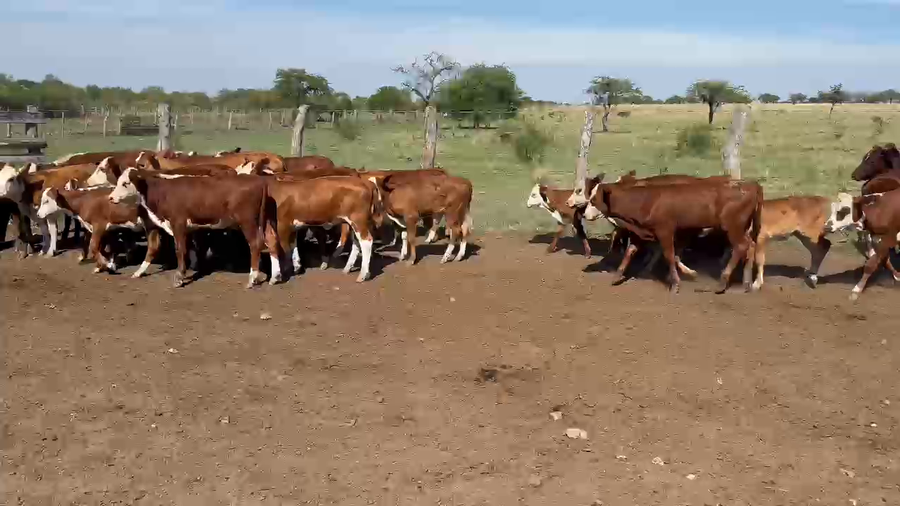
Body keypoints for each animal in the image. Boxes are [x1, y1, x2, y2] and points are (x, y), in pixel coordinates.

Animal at [108, 168, 278, 288]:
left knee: (255, 244)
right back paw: (275, 277)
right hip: (266, 221)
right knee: (272, 242)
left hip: (247, 221)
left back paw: (252, 278)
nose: (110, 197)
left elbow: (179, 249)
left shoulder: (178, 223)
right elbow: (187, 249)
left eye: (125, 183)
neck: (163, 191)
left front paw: (179, 278)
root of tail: (259, 181)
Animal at [583, 179, 763, 294]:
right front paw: (617, 276)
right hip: (743, 228)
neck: (647, 200)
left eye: (593, 200)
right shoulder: (641, 232)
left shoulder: (665, 231)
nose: (584, 215)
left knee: (740, 246)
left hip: (732, 227)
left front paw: (675, 283)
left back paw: (722, 282)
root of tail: (751, 184)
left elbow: (669, 255)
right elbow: (630, 251)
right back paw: (746, 282)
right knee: (751, 245)